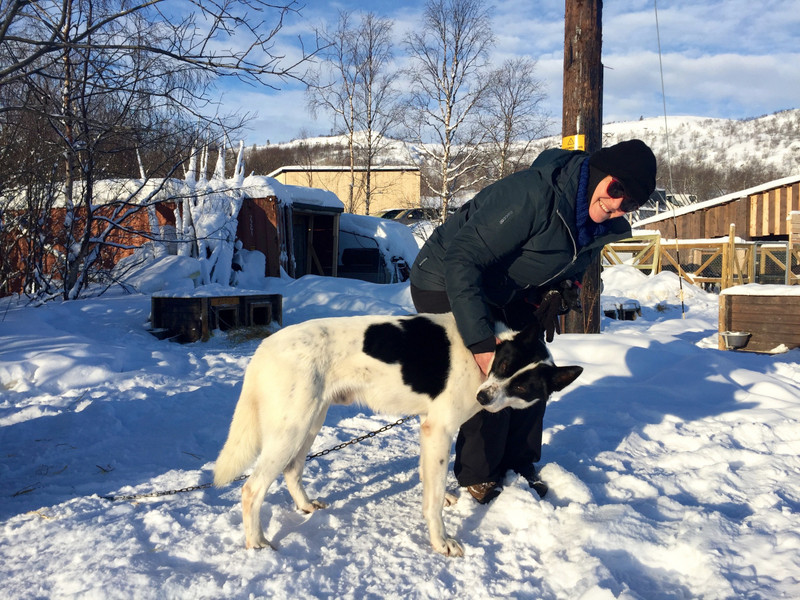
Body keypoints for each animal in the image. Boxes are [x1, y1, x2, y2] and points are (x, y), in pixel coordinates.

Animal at [216, 312, 584, 556]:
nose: (483, 397)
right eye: (504, 366)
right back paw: (256, 542)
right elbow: (432, 502)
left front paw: (443, 498)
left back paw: (306, 506)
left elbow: (430, 483)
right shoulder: (439, 430)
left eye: (522, 386)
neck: (482, 354)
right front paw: (440, 541)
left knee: (292, 470)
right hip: (291, 429)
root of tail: (265, 346)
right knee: (251, 489)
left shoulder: (429, 430)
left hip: (310, 422)